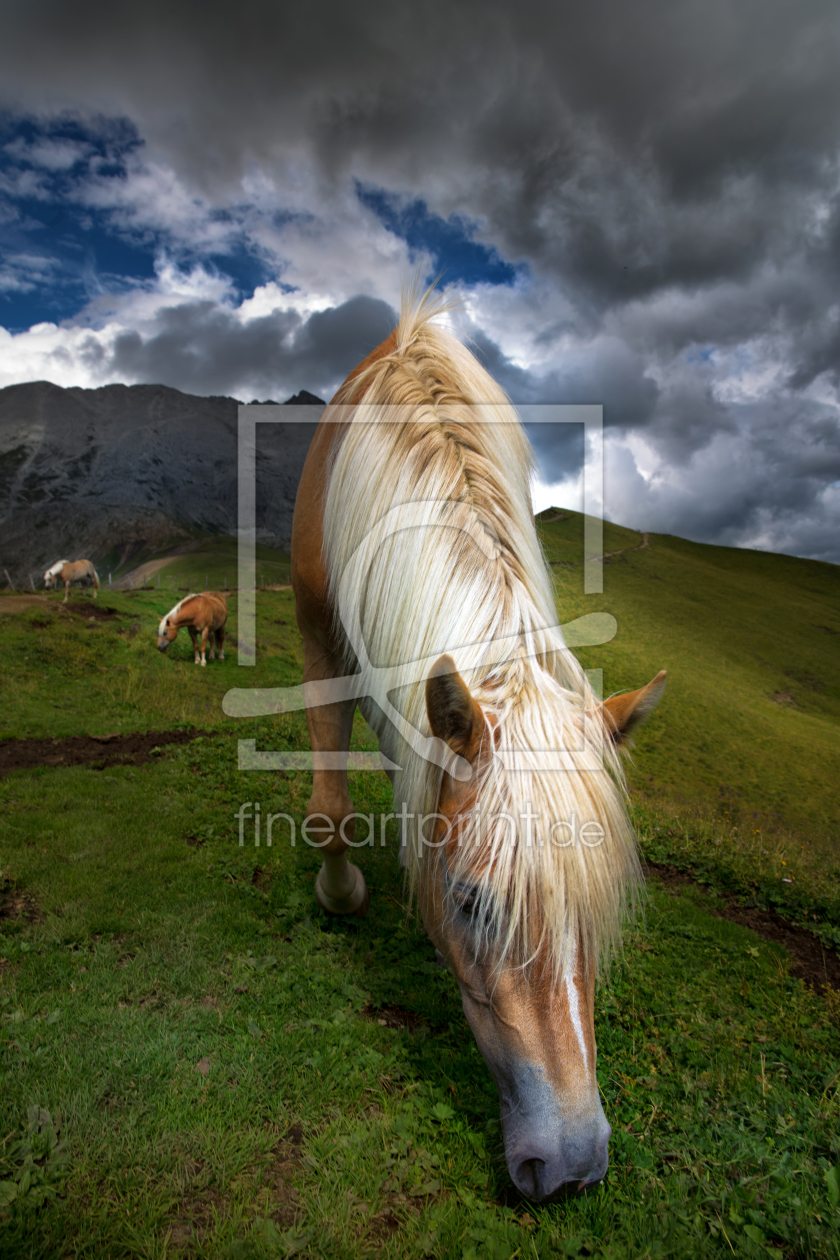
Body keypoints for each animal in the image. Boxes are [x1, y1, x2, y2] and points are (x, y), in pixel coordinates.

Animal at [292, 289, 664, 1204]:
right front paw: (342, 893)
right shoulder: (318, 630)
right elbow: (330, 813)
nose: (571, 1165)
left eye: (595, 910)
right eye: (470, 903)